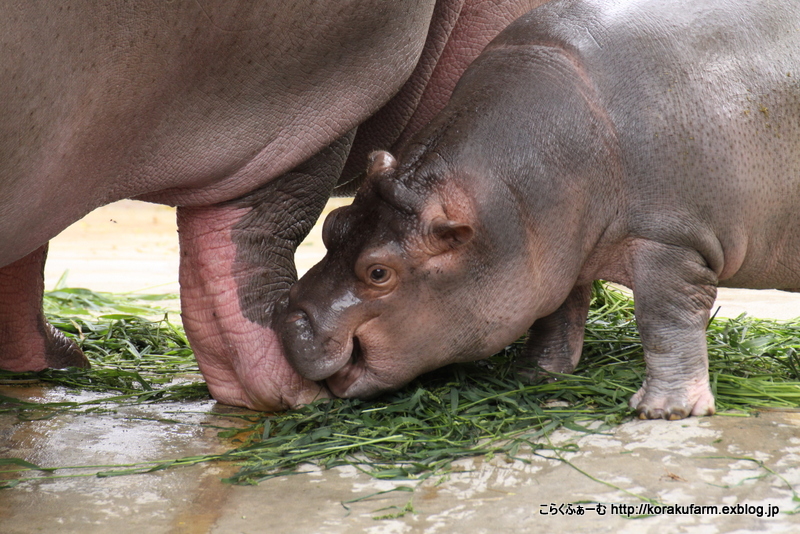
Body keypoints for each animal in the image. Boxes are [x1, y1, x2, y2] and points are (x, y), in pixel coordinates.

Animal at [278, 0, 800, 422]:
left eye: (378, 272)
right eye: (333, 224)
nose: (288, 324)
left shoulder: (670, 241)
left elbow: (664, 321)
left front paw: (664, 411)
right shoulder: (556, 253)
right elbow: (557, 315)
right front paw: (534, 375)